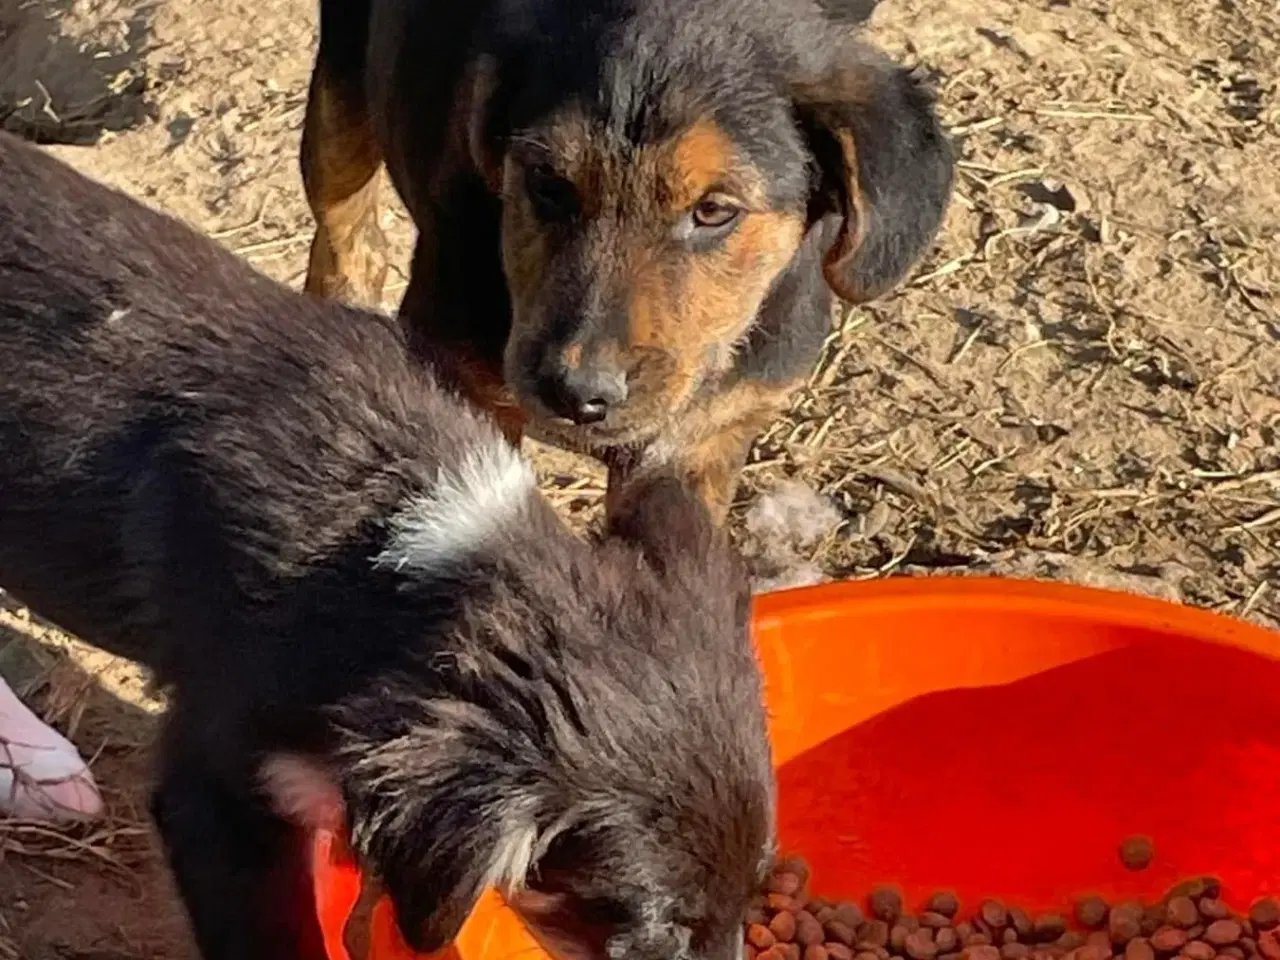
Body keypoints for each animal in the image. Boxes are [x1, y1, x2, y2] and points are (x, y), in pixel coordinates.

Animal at [302, 0, 962, 522]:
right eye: (547, 184)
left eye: (714, 210)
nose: (576, 395)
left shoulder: (703, 439)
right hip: (340, 90)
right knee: (345, 232)